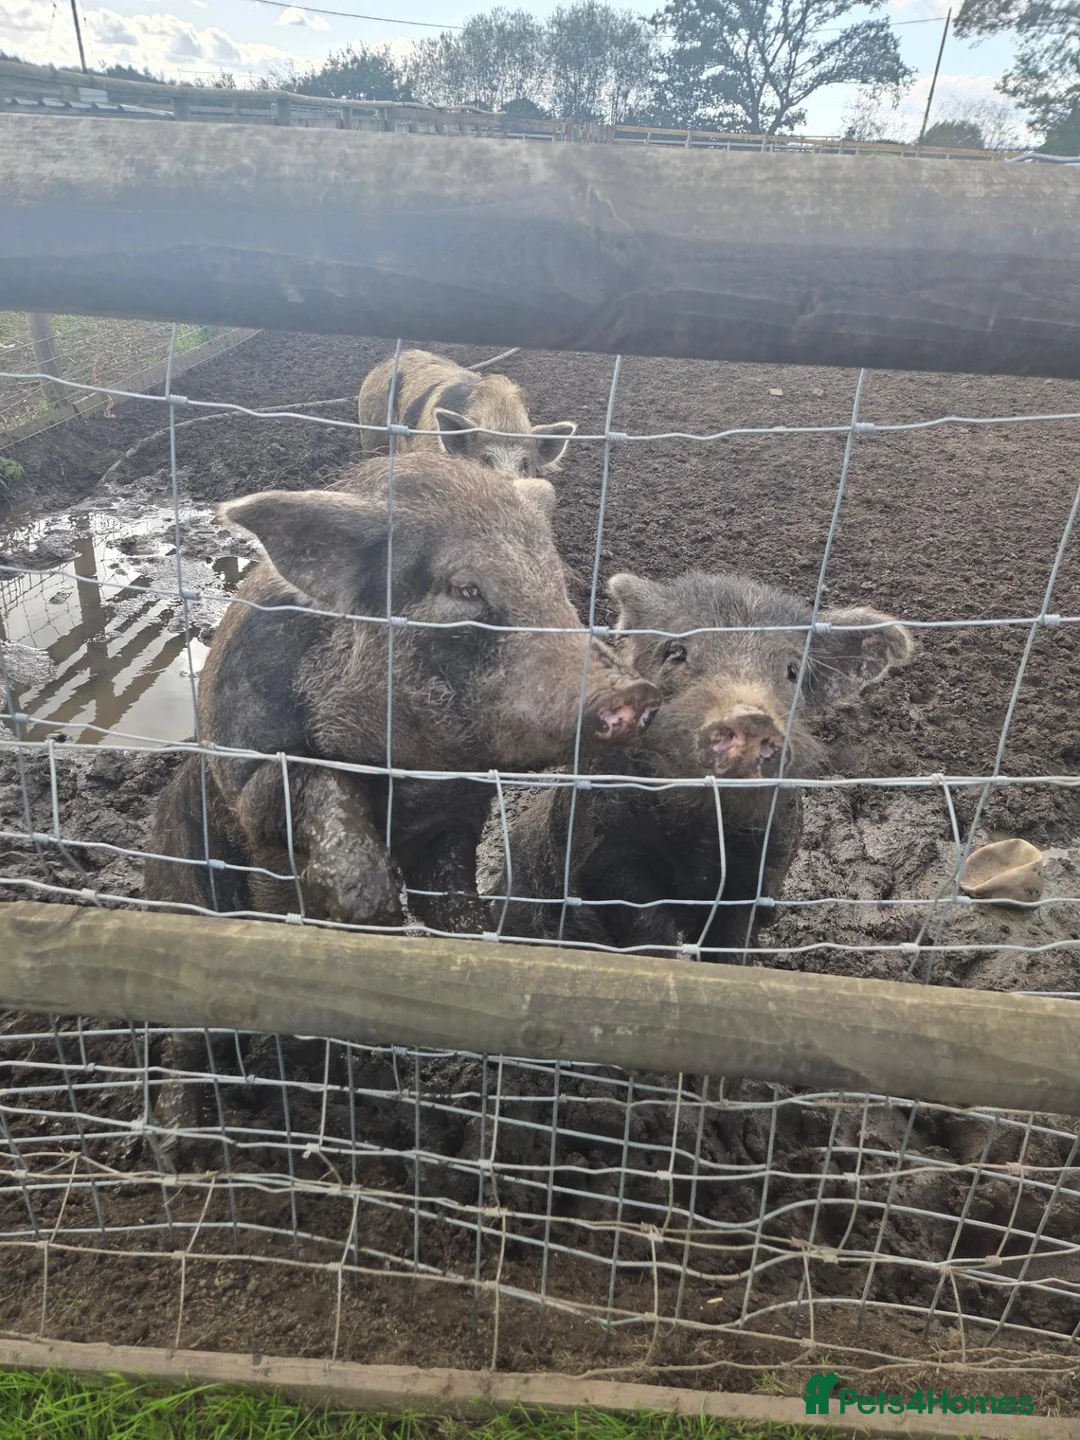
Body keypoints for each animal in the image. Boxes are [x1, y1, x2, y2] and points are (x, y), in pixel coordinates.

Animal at [143, 454, 659, 1156]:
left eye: (557, 585)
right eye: (465, 588)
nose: (635, 692)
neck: (403, 768)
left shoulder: (458, 810)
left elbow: (453, 901)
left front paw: (488, 947)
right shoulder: (252, 775)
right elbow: (316, 787)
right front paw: (373, 909)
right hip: (181, 885)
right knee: (183, 1029)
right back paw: (177, 1146)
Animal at [496, 569, 914, 958]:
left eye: (793, 671)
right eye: (676, 652)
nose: (751, 717)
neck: (702, 829)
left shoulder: (765, 867)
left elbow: (732, 939)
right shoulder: (605, 858)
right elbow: (645, 929)